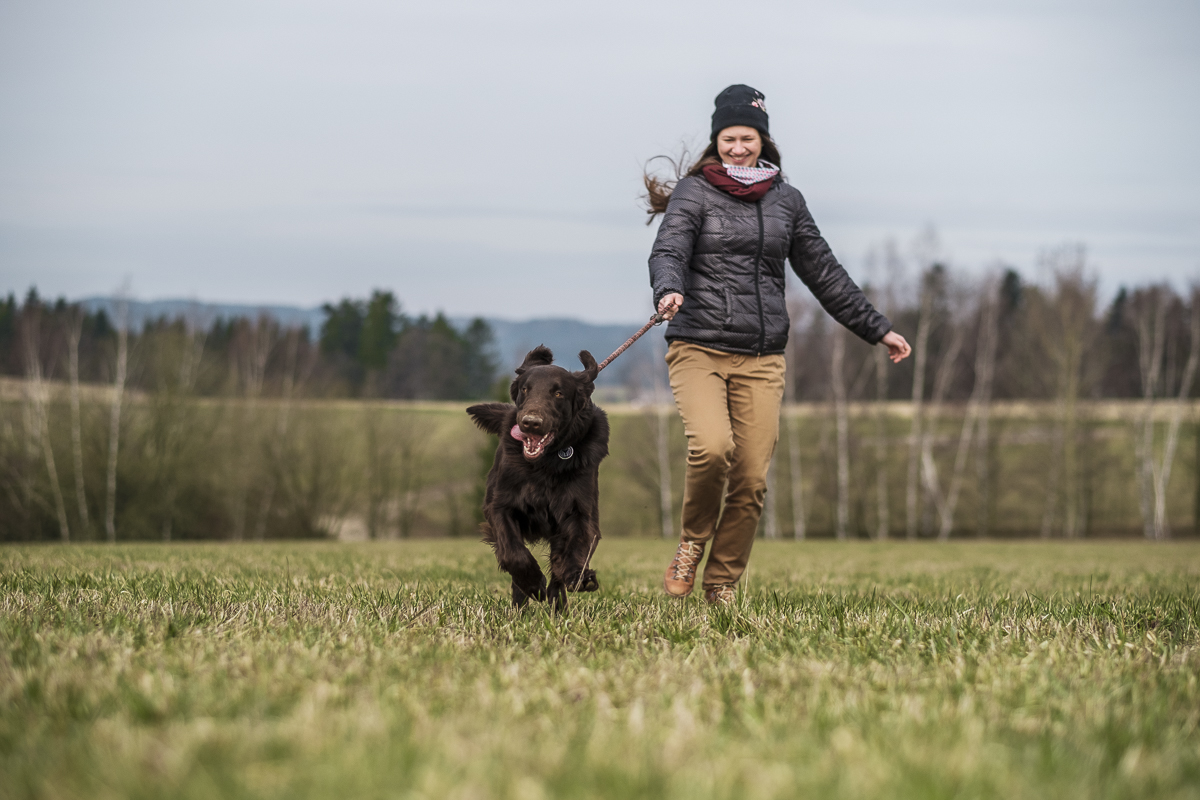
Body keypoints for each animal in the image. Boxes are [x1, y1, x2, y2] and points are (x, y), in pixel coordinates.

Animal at [465, 345, 609, 614]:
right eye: (525, 389)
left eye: (559, 393)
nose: (531, 423)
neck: (545, 463)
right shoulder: (499, 506)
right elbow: (513, 553)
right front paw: (532, 583)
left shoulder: (581, 513)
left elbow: (576, 549)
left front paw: (578, 576)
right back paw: (520, 608)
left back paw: (558, 607)